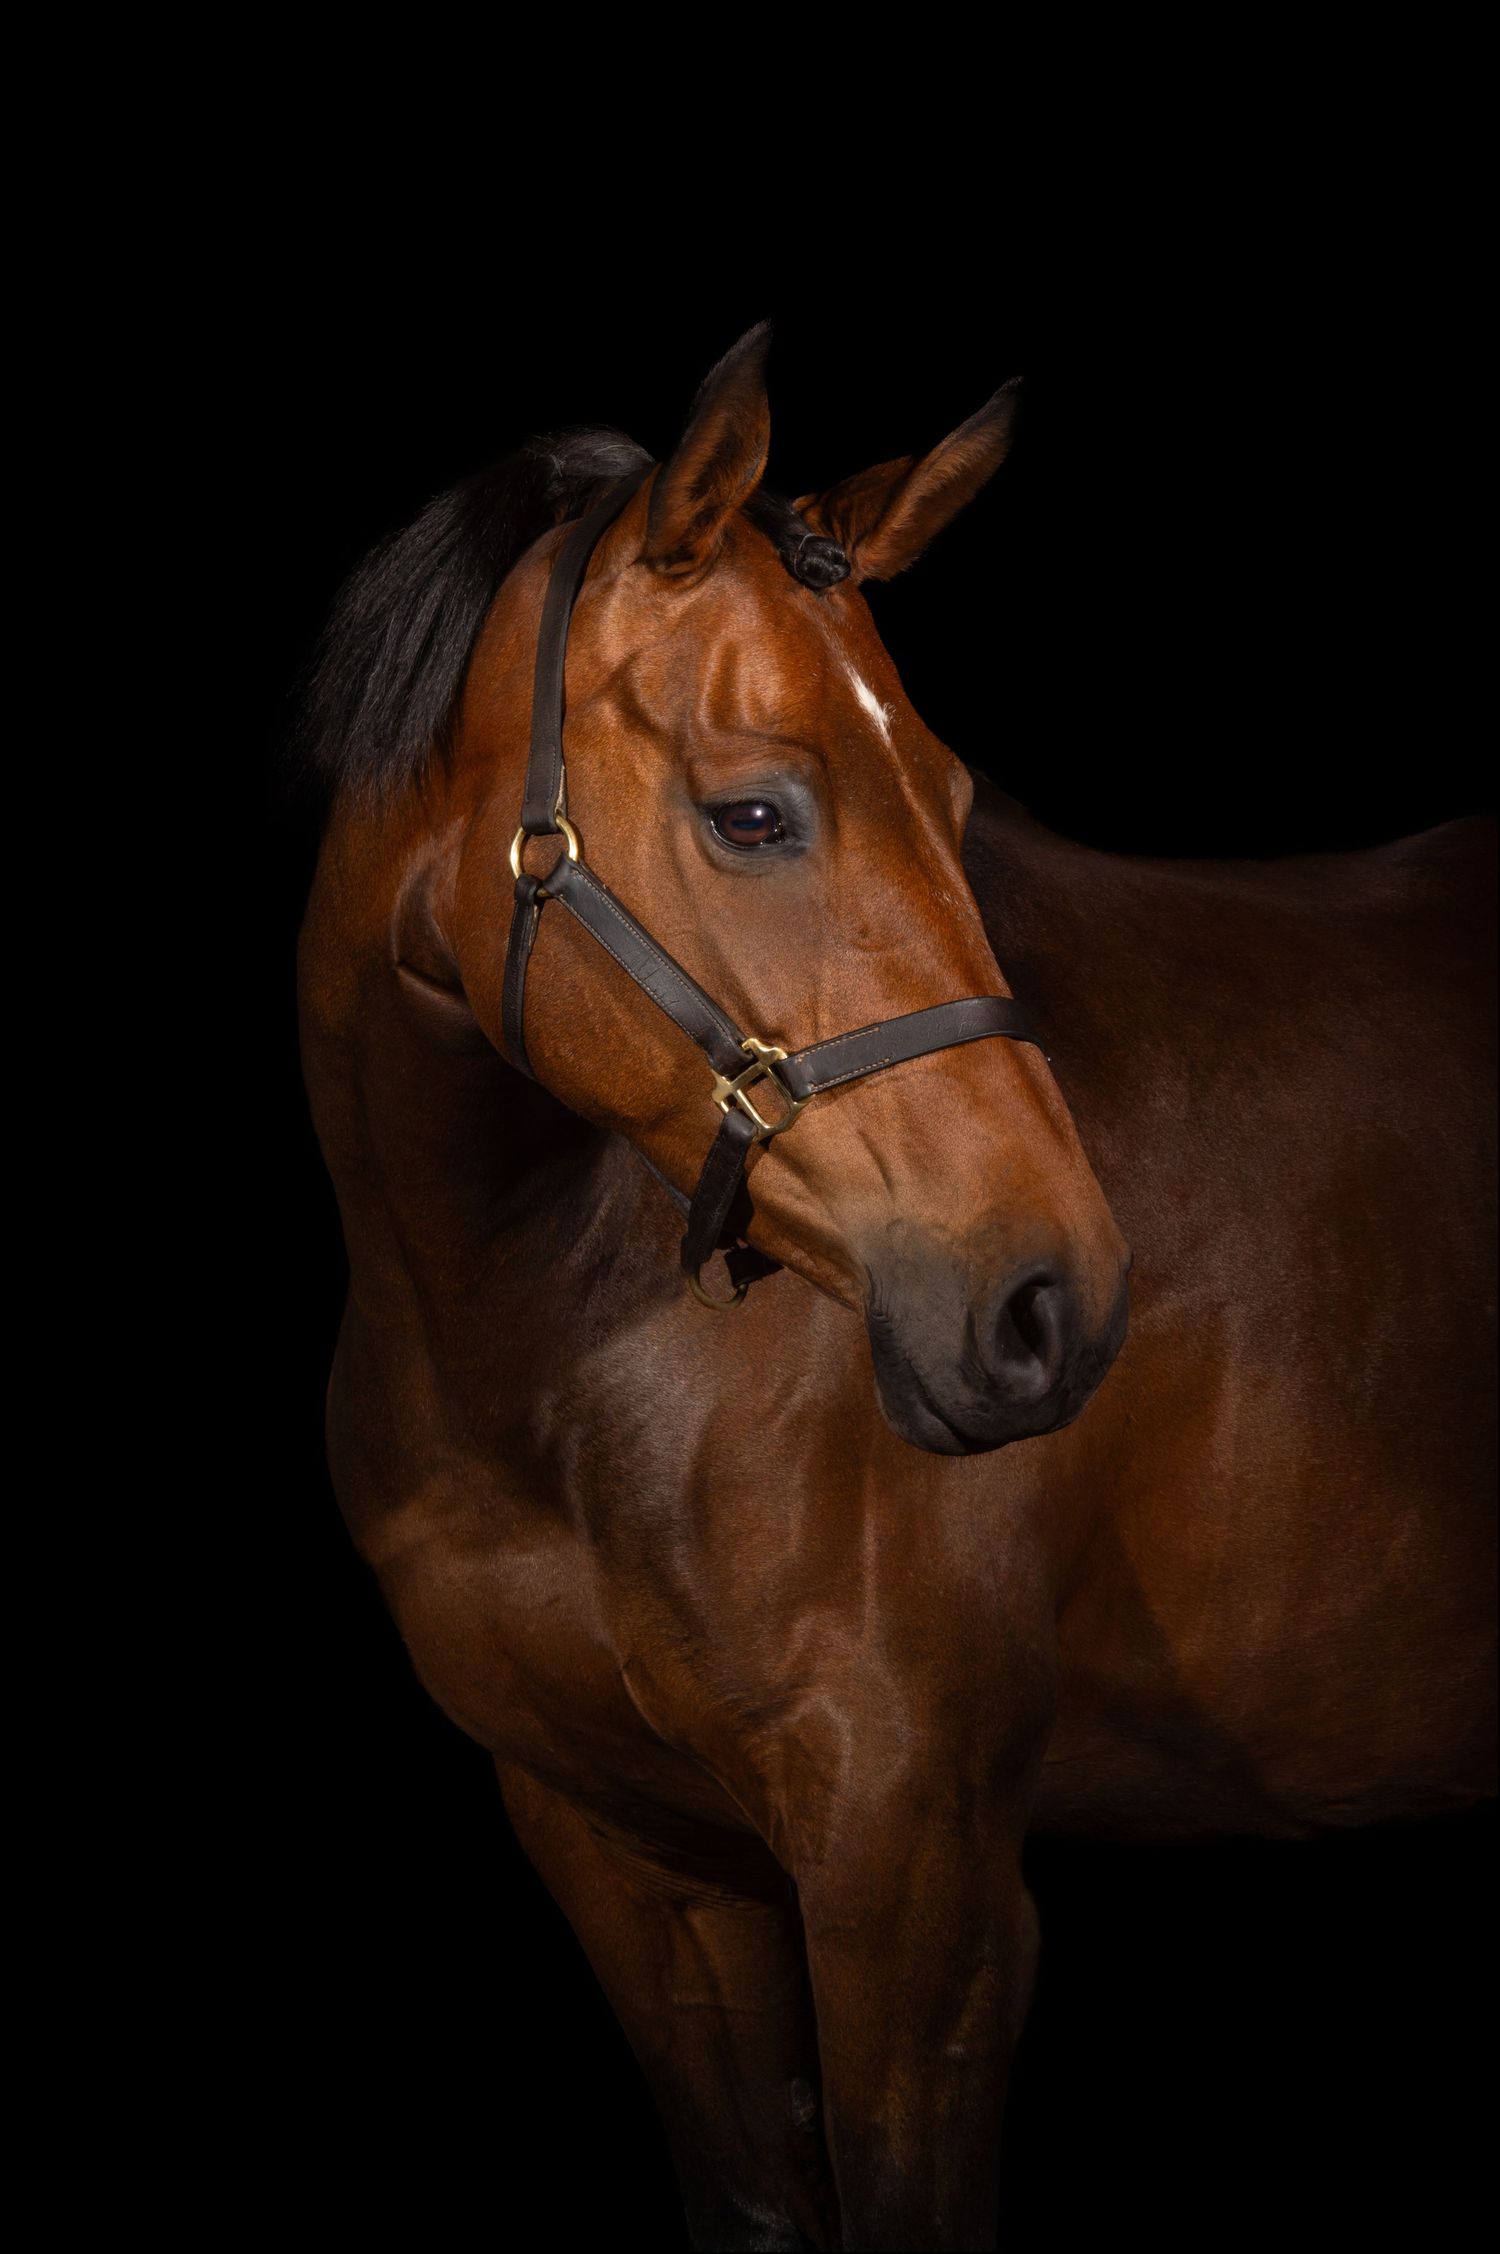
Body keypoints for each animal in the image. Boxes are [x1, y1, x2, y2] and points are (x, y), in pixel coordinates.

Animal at [296, 323, 1496, 2251]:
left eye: (953, 802)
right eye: (754, 811)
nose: (1050, 1300)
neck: (546, 1368)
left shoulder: (917, 1893)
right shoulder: (632, 1857)